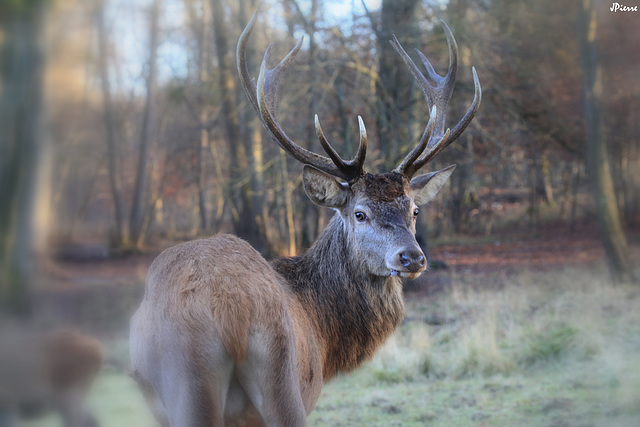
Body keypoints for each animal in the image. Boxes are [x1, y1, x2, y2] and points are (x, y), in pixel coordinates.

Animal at [130, 13, 480, 427]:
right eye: (360, 213)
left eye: (414, 210)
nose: (412, 258)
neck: (326, 337)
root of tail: (231, 312)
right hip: (280, 375)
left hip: (207, 382)